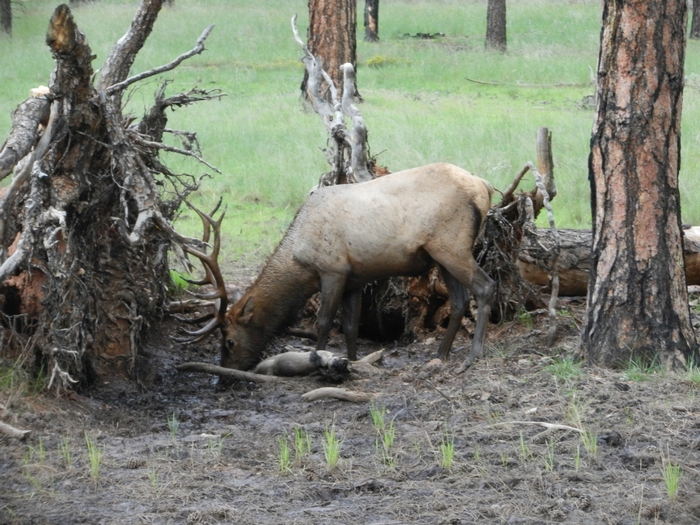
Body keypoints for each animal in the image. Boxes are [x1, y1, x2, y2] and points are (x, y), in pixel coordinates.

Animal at [180, 162, 496, 375]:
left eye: (230, 341)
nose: (225, 374)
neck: (300, 258)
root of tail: (484, 186)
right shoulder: (355, 279)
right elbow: (351, 327)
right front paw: (353, 362)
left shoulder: (333, 270)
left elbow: (324, 323)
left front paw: (317, 362)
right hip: (441, 255)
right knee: (459, 300)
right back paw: (441, 353)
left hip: (451, 245)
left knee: (485, 287)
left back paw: (474, 354)